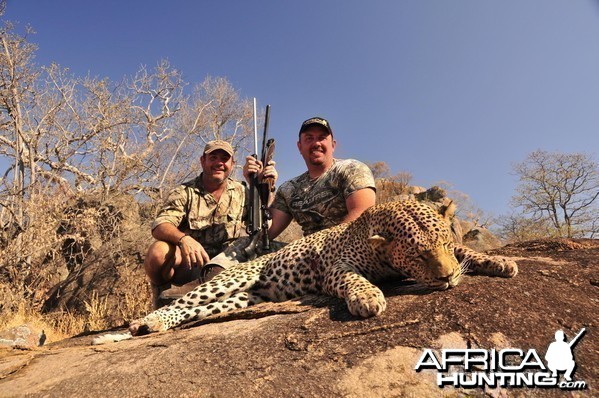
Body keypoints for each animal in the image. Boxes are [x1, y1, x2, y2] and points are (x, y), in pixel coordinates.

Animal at [91, 201, 516, 344]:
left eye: (442, 243)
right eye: (418, 255)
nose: (447, 279)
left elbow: (466, 251)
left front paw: (499, 262)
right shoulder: (335, 268)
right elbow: (352, 279)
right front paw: (367, 297)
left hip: (241, 299)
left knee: (193, 311)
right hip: (229, 281)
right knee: (180, 303)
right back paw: (144, 323)